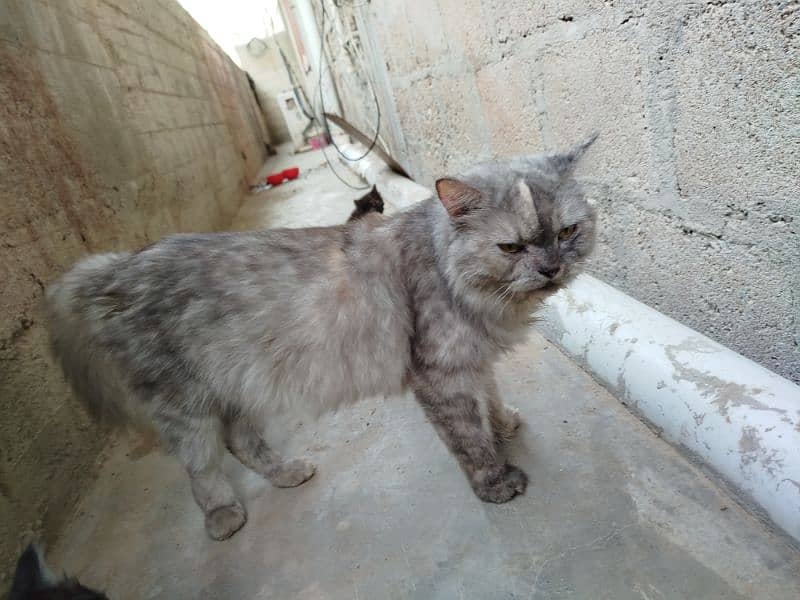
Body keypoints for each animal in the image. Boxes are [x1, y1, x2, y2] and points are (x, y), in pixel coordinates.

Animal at [45, 139, 592, 540]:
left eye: (567, 232)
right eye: (511, 247)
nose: (550, 268)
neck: (450, 270)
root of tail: (116, 269)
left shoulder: (472, 363)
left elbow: (491, 400)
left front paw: (504, 425)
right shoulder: (440, 373)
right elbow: (468, 438)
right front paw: (496, 481)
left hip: (234, 387)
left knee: (241, 441)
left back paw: (286, 472)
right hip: (187, 406)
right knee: (201, 468)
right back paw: (223, 517)